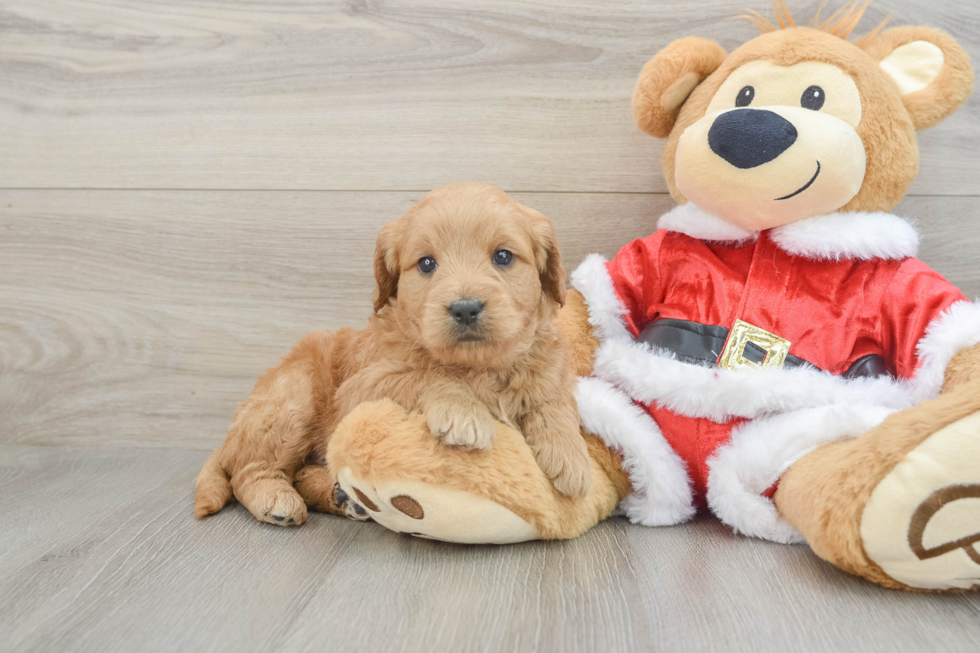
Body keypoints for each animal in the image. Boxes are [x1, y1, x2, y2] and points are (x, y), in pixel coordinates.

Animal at [192, 182, 588, 524]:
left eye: (503, 256)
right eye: (427, 263)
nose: (465, 308)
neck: (478, 366)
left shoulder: (550, 364)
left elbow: (553, 398)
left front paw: (569, 452)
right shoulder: (361, 388)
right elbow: (427, 375)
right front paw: (464, 412)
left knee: (302, 471)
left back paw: (344, 498)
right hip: (291, 400)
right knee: (248, 471)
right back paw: (276, 499)